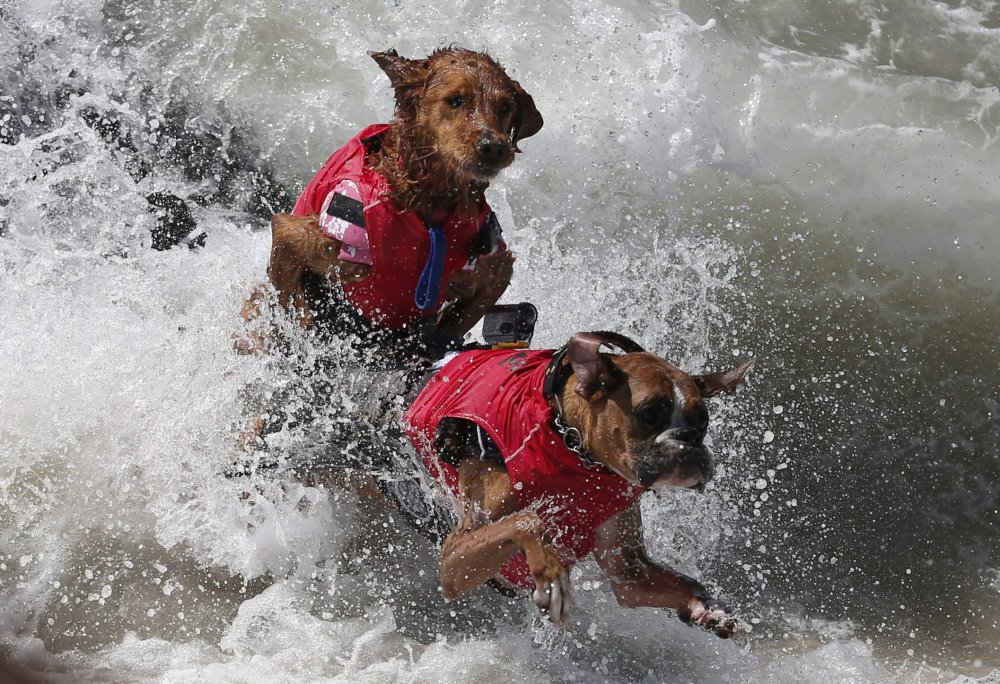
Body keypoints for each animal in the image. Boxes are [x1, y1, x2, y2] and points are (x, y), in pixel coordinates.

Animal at [398, 330, 752, 636]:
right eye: (649, 412)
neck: (570, 445)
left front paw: (707, 607)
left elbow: (677, 583)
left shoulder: (629, 573)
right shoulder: (455, 555)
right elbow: (528, 520)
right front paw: (552, 576)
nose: (688, 439)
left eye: (703, 421)